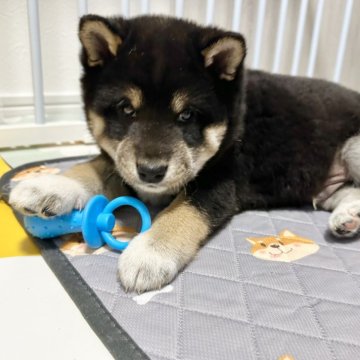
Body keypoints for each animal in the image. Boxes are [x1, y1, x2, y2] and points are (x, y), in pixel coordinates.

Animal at [9, 16, 360, 292]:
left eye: (187, 115)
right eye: (126, 109)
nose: (151, 171)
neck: (237, 122)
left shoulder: (220, 181)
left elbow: (182, 212)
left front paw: (149, 253)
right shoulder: (120, 162)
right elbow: (93, 166)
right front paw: (49, 185)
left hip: (353, 146)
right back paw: (348, 218)